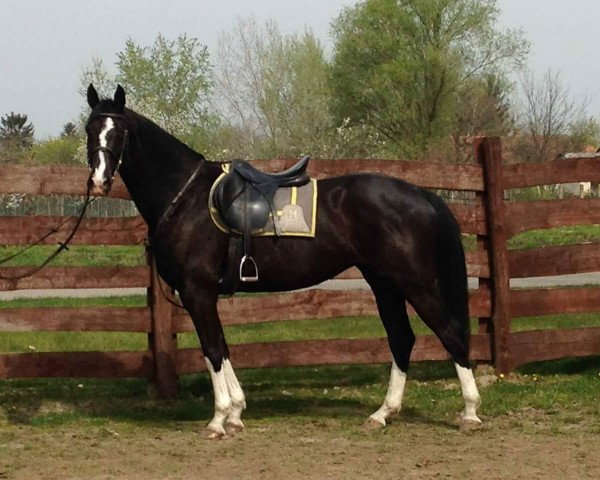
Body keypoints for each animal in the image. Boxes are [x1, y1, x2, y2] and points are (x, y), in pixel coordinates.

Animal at [84, 84, 480, 436]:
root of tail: (421, 194)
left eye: (119, 131)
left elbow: (212, 349)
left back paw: (471, 413)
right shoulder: (203, 295)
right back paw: (382, 414)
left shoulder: (198, 291)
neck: (186, 197)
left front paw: (218, 419)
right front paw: (236, 413)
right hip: (385, 284)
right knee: (401, 339)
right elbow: (222, 348)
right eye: (90, 129)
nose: (99, 182)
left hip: (415, 284)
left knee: (450, 333)